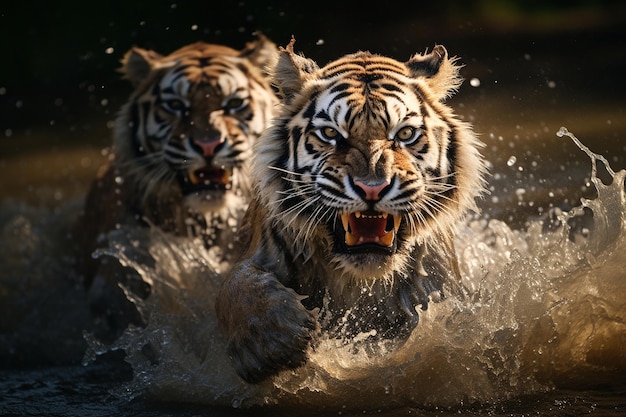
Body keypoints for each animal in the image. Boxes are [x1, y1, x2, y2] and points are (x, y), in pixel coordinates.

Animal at [216, 39, 488, 384]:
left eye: (404, 134)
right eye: (331, 134)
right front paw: (272, 340)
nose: (372, 187)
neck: (360, 282)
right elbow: (238, 284)